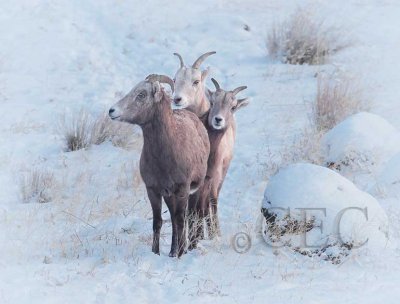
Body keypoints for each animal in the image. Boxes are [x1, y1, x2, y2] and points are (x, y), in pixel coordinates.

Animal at [108, 74, 211, 256]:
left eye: (141, 94)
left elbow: (180, 219)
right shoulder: (153, 190)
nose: (112, 111)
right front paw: (156, 252)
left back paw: (185, 248)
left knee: (188, 217)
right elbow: (158, 221)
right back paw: (171, 251)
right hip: (169, 196)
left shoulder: (182, 188)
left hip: (194, 190)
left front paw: (181, 254)